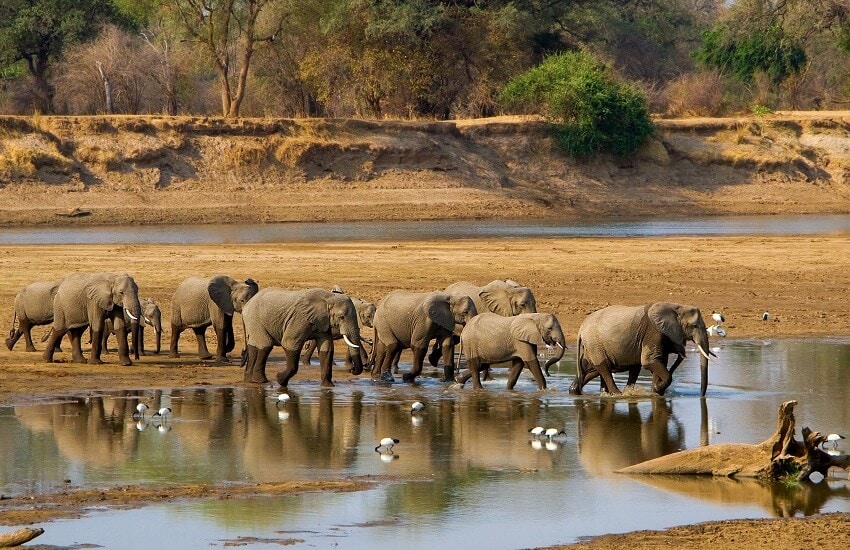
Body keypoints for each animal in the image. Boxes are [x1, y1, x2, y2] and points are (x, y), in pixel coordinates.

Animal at [569, 302, 713, 397]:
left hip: (592, 345)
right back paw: (617, 394)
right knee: (603, 367)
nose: (701, 395)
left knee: (591, 368)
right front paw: (657, 389)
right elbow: (649, 362)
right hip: (594, 343)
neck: (676, 307)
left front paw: (655, 392)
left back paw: (576, 391)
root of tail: (581, 328)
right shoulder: (654, 332)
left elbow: (659, 362)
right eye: (694, 326)